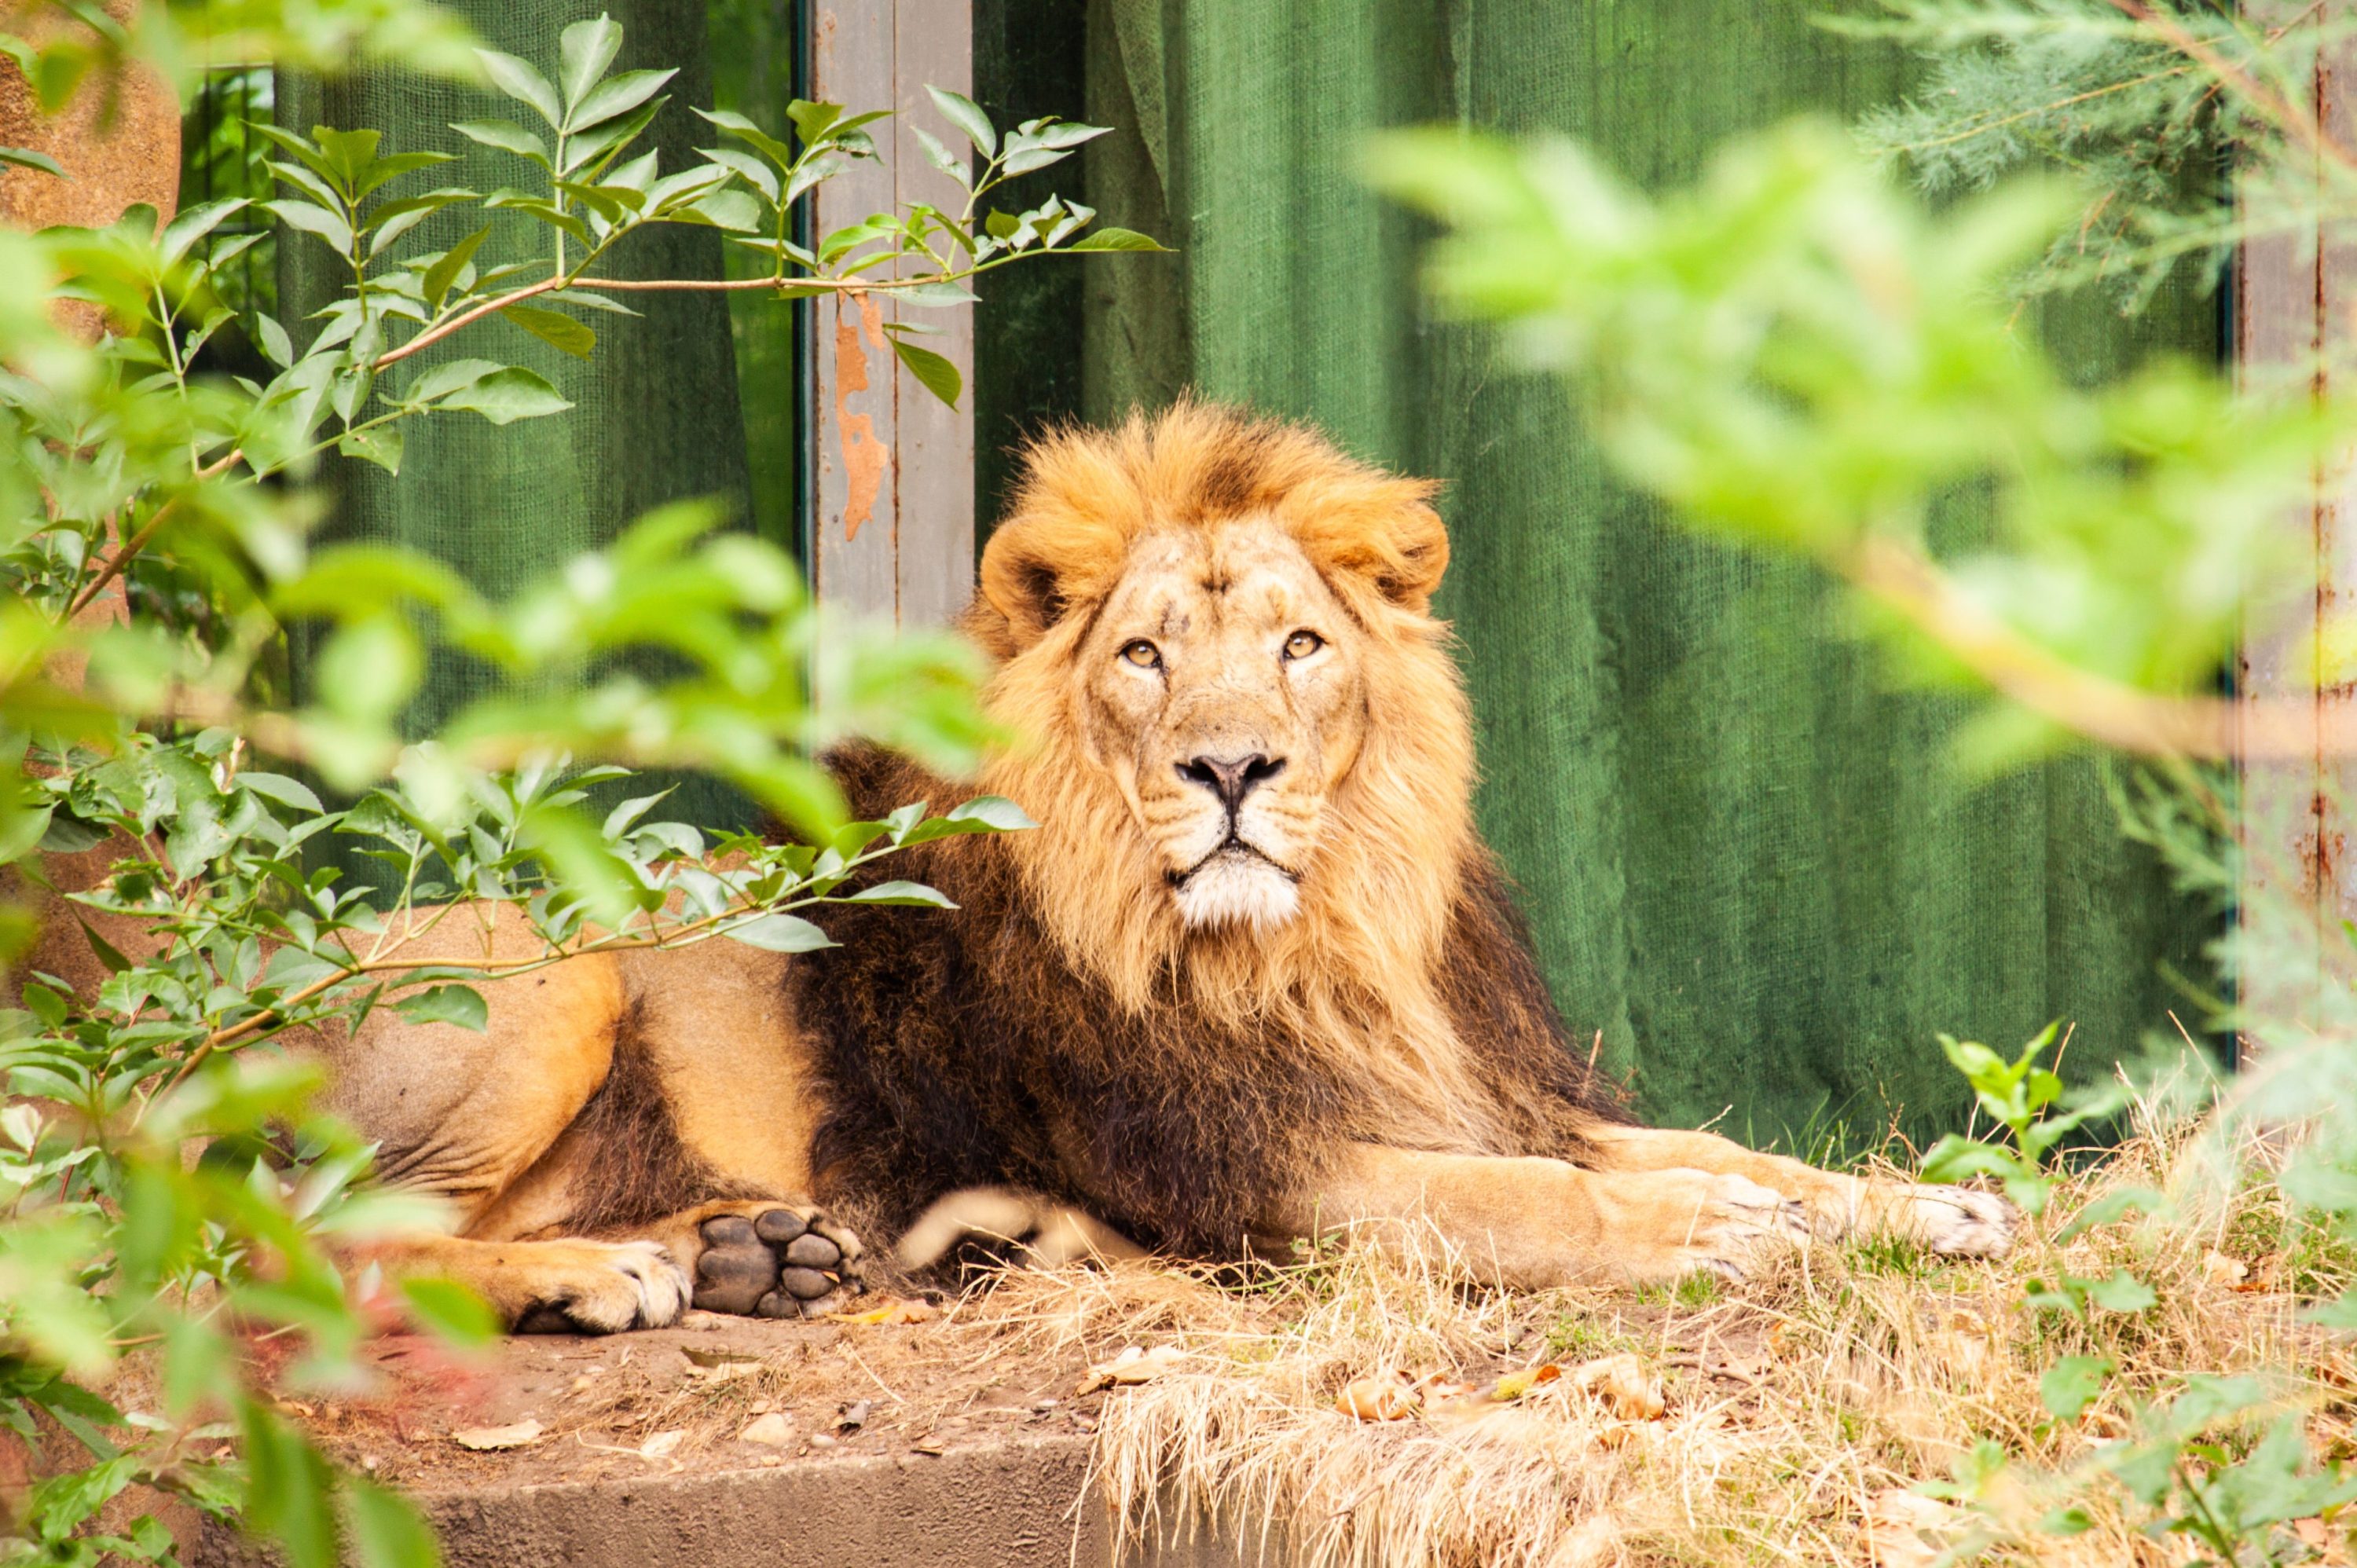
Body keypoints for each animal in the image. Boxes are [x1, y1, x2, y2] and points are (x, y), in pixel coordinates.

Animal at [283, 401, 2015, 1331]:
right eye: (1145, 655)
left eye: (1302, 646)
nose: (1232, 769)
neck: (1309, 949)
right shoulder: (1243, 1169)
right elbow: (1523, 1200)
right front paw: (1710, 1236)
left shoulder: (1466, 1085)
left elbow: (1706, 1148)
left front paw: (1920, 1206)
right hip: (538, 960)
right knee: (297, 1251)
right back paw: (598, 1275)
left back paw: (744, 1252)